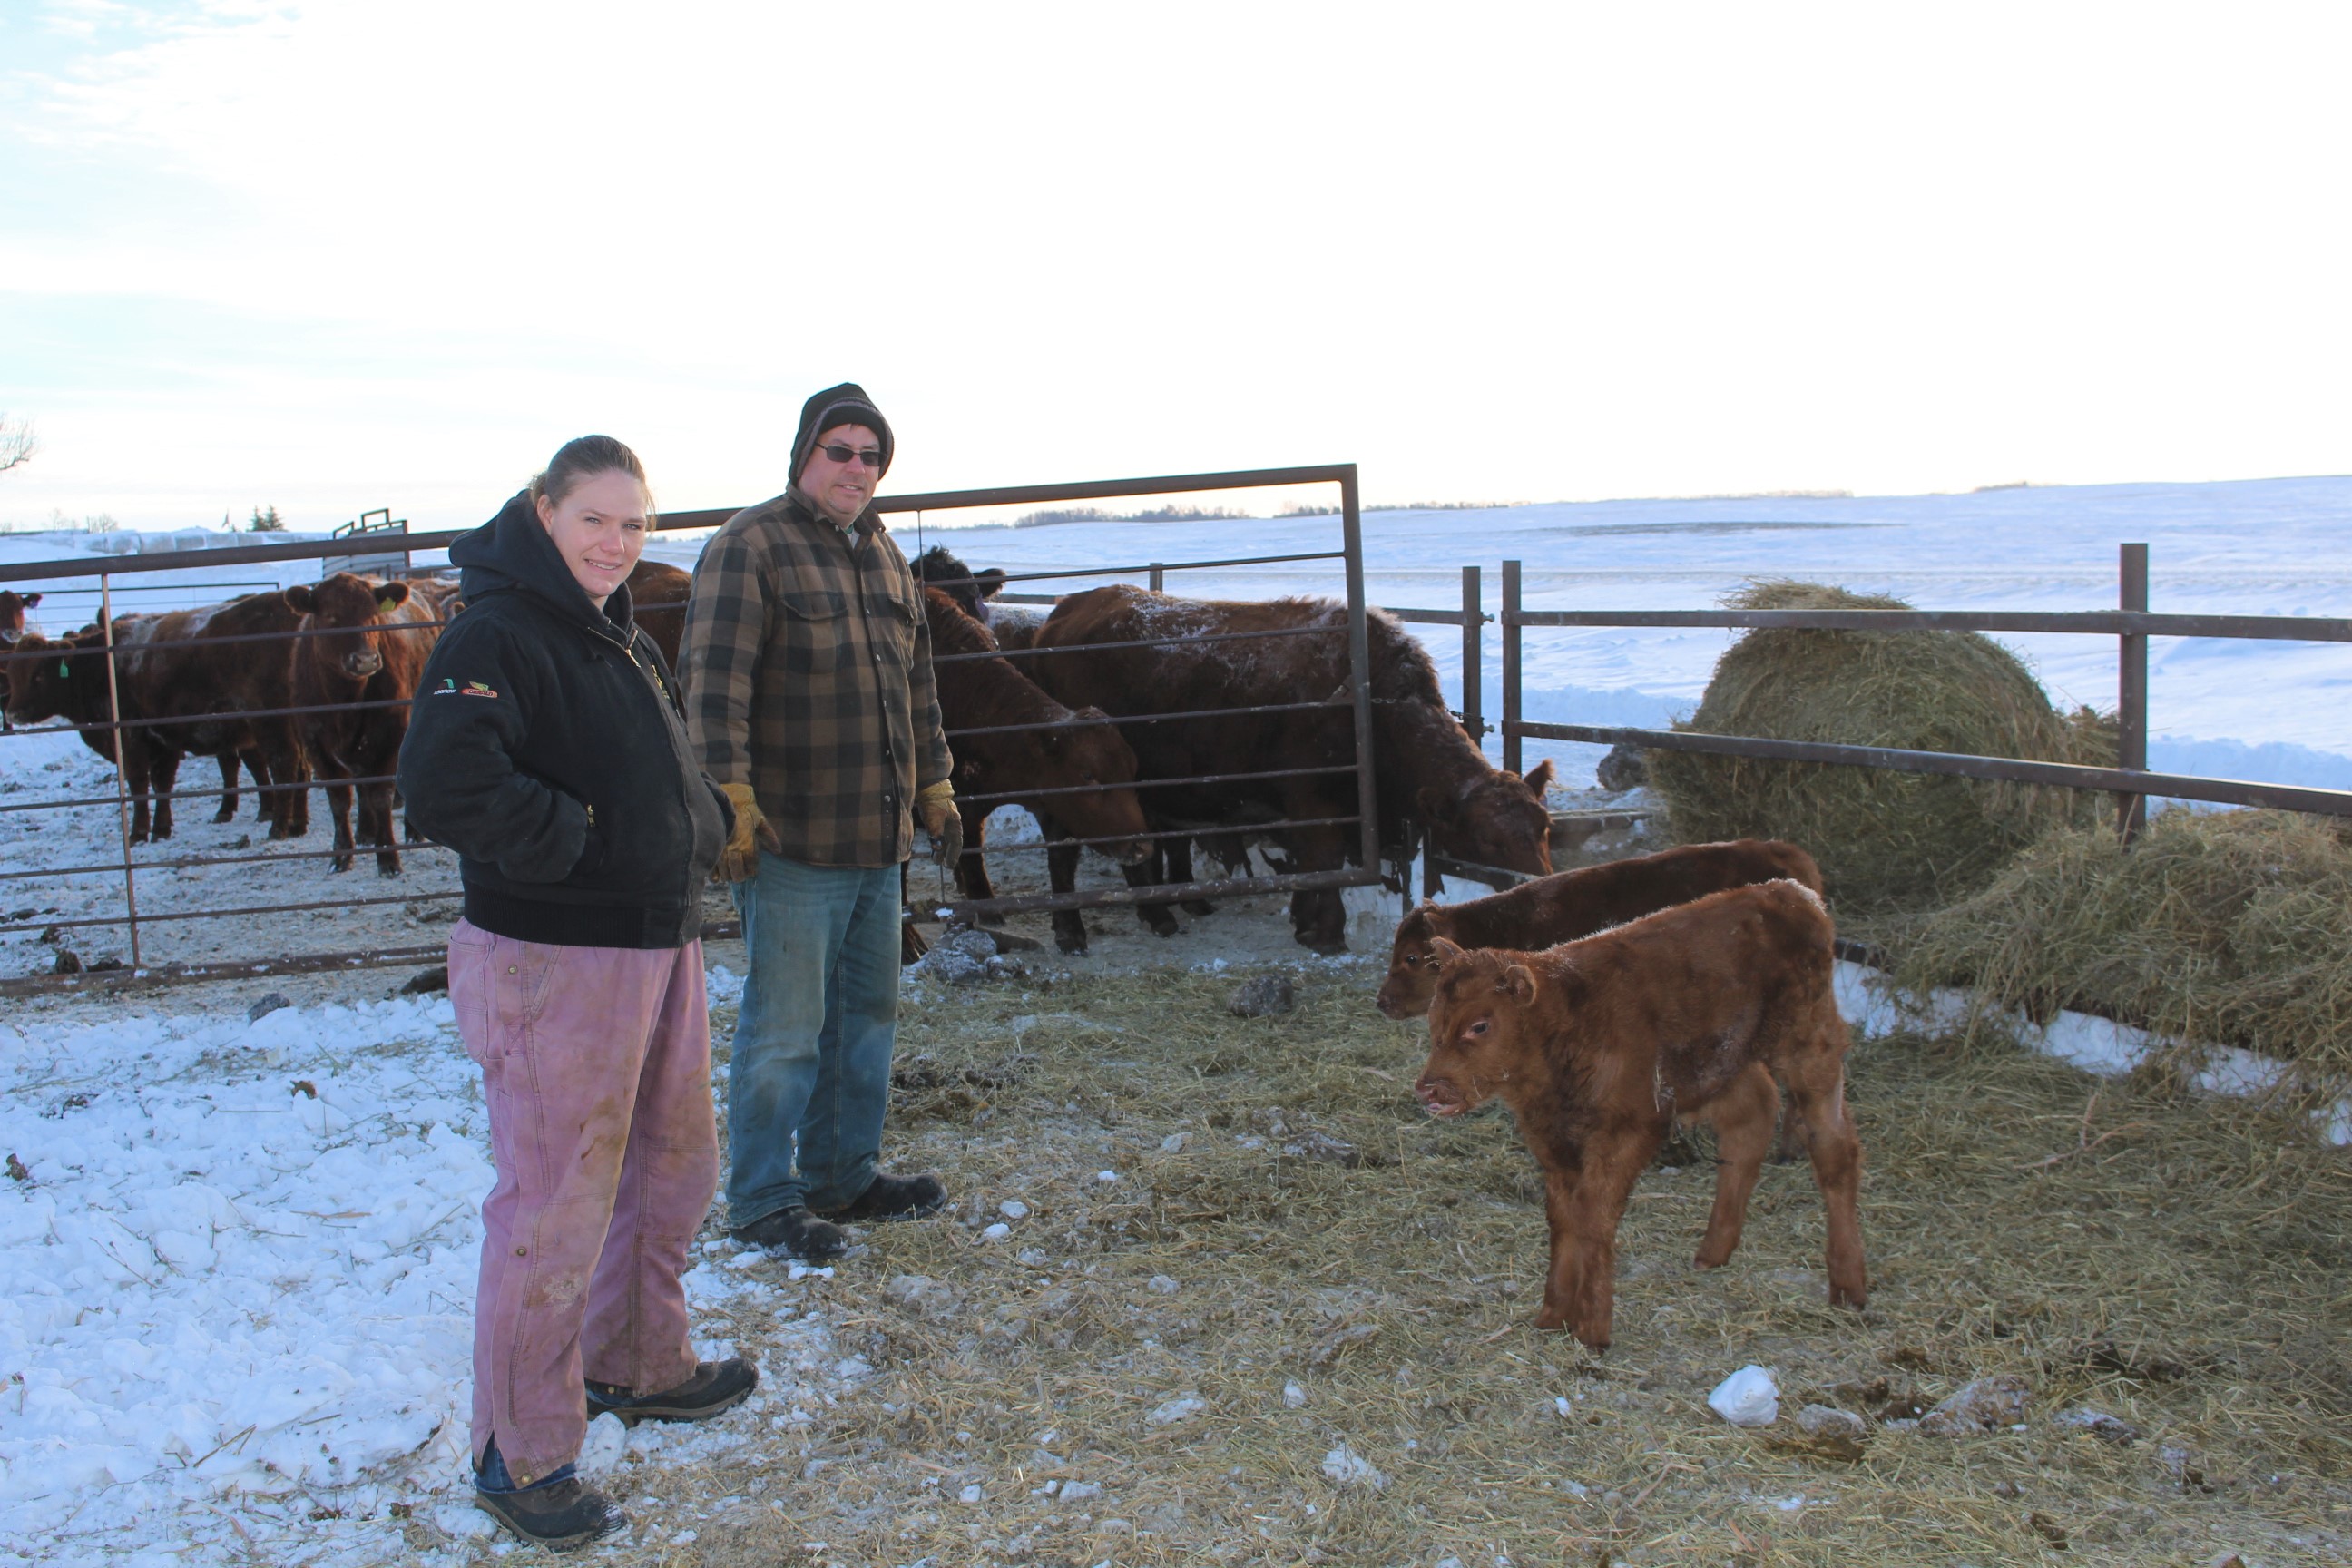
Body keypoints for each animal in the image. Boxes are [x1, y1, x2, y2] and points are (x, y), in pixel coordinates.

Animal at [285, 574, 438, 873]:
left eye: (373, 615)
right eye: (330, 616)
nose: (366, 659)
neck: (347, 699)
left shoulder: (392, 737)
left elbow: (381, 796)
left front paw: (388, 858)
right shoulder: (316, 745)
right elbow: (340, 800)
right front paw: (341, 855)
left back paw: (411, 832)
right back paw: (365, 832)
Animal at [922, 586, 1152, 952]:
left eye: (1131, 771)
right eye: (1088, 775)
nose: (1141, 847)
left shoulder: (1050, 805)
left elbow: (1061, 862)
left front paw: (1069, 928)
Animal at [1025, 586, 1555, 952]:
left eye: (1544, 828)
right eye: (1487, 839)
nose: (1544, 890)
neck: (1374, 705)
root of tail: (1065, 610)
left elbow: (1313, 864)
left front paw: (1305, 919)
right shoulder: (1316, 804)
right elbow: (1324, 862)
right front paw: (1326, 933)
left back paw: (1168, 908)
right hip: (1076, 794)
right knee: (1063, 853)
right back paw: (1078, 929)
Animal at [1413, 880, 1867, 1349]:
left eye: (1480, 1025)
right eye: (1434, 1019)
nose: (1429, 1088)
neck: (1568, 1025)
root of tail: (1791, 893)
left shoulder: (1628, 1129)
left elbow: (1595, 1215)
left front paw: (1592, 1329)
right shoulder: (1555, 1143)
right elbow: (1564, 1217)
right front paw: (1553, 1316)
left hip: (1808, 1045)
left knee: (1835, 1149)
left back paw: (1849, 1285)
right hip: (1720, 1067)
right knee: (1753, 1117)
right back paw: (1713, 1252)